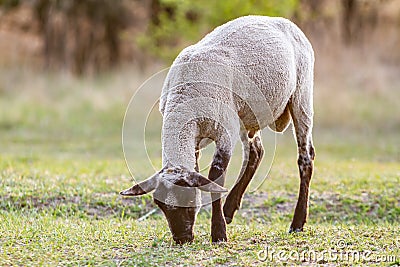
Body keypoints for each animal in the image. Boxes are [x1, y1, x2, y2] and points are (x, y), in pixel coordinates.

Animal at [120, 14, 314, 245]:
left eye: (187, 199)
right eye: (161, 206)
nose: (182, 238)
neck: (184, 102)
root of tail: (283, 22)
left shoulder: (224, 132)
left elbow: (215, 178)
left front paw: (219, 233)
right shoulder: (195, 141)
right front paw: (220, 224)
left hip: (301, 96)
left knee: (305, 158)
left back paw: (297, 223)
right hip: (245, 115)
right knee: (256, 152)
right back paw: (230, 209)